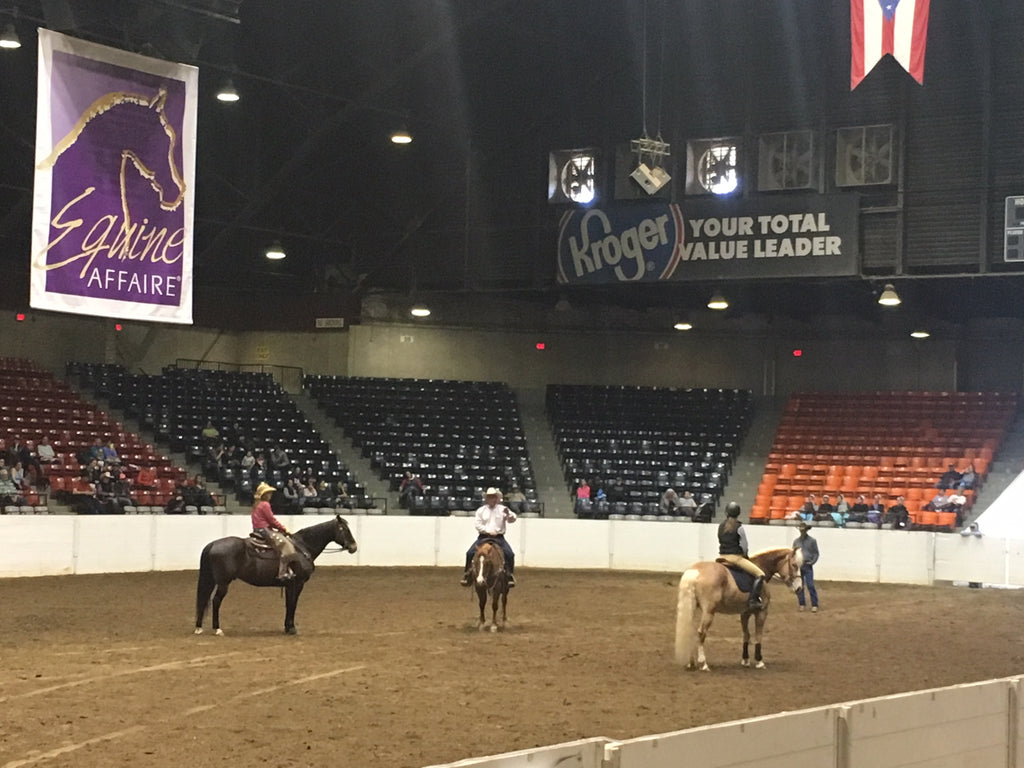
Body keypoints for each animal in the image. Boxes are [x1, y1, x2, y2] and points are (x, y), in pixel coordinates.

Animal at [193, 518, 358, 638]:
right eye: (345, 529)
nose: (353, 547)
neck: (303, 547)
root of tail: (213, 544)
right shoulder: (298, 583)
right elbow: (293, 604)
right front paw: (292, 628)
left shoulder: (289, 584)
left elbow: (289, 604)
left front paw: (287, 627)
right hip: (223, 582)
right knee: (215, 601)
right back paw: (217, 629)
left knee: (205, 600)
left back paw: (199, 627)